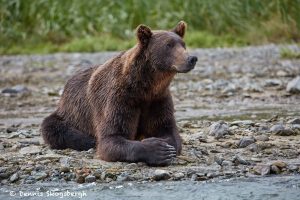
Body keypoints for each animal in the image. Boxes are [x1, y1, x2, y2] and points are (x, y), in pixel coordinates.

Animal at [41, 21, 197, 166]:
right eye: (168, 45)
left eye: (183, 44)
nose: (192, 58)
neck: (146, 86)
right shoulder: (119, 99)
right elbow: (111, 137)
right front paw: (157, 149)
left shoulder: (157, 99)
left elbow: (168, 130)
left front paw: (166, 146)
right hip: (69, 115)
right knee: (54, 128)